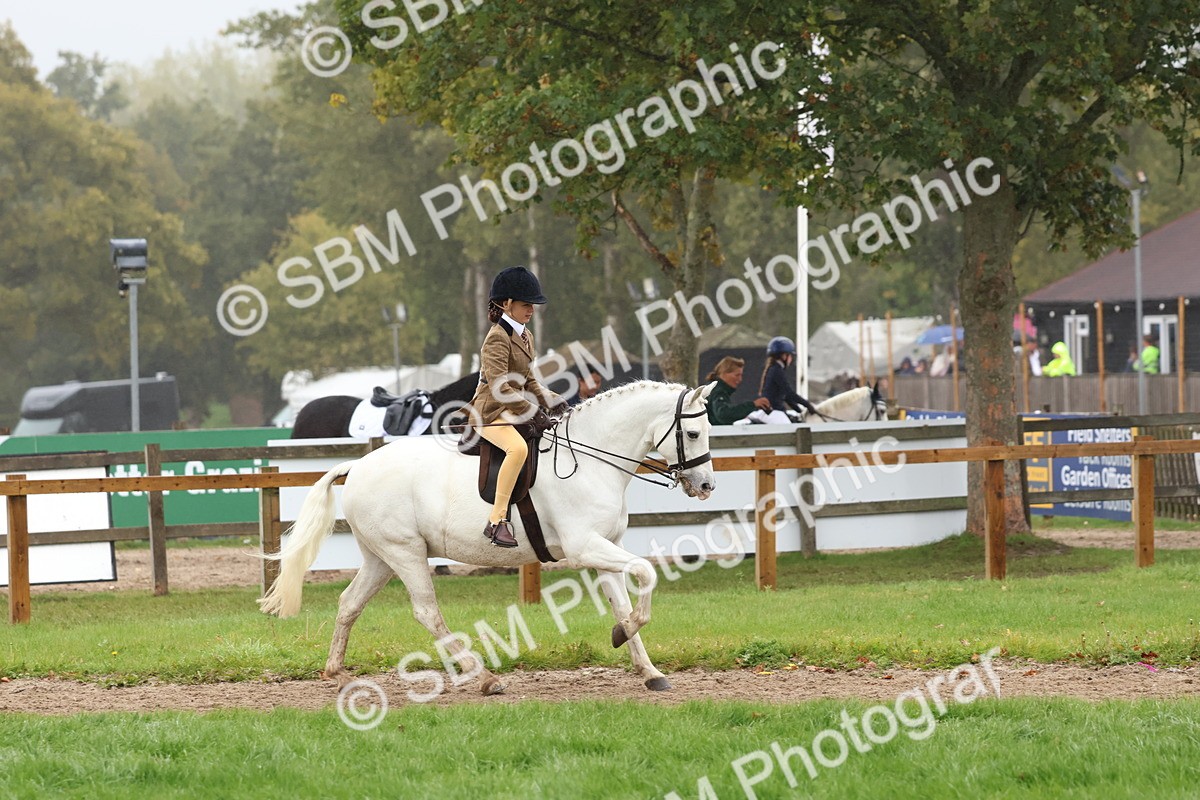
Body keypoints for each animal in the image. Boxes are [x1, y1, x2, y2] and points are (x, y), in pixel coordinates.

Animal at [259, 380, 718, 696]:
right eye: (694, 434)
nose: (706, 486)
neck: (591, 459)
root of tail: (358, 465)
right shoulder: (585, 546)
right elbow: (647, 574)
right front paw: (622, 637)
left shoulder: (606, 549)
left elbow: (624, 602)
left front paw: (648, 669)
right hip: (405, 553)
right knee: (427, 612)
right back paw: (482, 678)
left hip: (380, 558)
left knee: (349, 603)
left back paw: (337, 673)